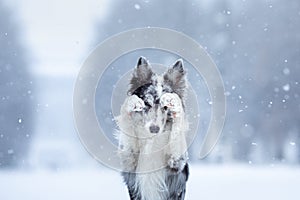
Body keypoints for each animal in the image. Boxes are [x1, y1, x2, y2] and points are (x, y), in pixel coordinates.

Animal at [115, 56, 189, 200]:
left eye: (165, 107)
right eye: (147, 104)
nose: (154, 129)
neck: (152, 140)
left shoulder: (176, 164)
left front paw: (174, 101)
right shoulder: (129, 160)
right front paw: (132, 103)